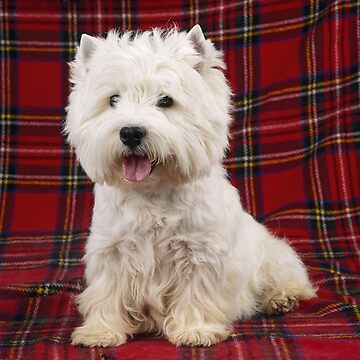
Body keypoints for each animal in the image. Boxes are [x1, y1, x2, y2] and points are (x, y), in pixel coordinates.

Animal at [64, 24, 316, 346]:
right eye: (113, 100)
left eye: (165, 101)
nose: (130, 132)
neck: (152, 192)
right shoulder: (112, 250)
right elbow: (107, 293)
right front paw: (100, 331)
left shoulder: (199, 252)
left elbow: (195, 292)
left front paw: (195, 331)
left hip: (272, 255)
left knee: (291, 277)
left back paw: (282, 298)